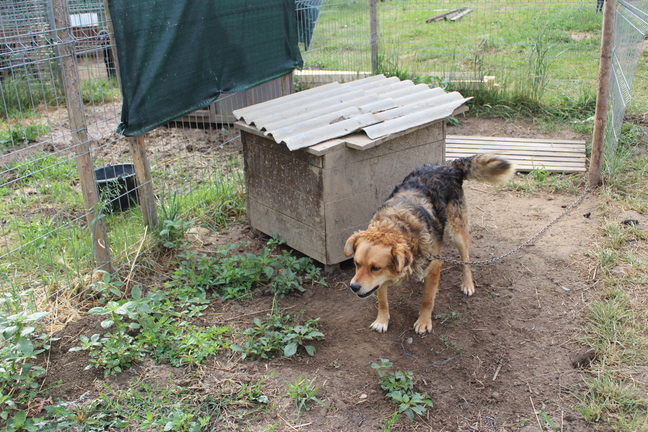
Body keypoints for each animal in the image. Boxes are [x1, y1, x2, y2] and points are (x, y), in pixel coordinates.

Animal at [344, 154, 515, 334]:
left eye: (375, 268)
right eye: (356, 264)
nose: (353, 286)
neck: (397, 226)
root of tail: (449, 165)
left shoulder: (434, 267)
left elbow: (427, 299)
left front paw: (424, 322)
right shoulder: (380, 281)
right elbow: (382, 299)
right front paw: (381, 321)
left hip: (456, 233)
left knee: (466, 258)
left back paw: (467, 283)